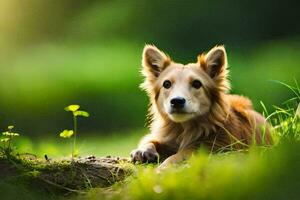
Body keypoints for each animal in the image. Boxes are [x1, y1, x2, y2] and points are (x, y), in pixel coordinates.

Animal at [130, 45, 274, 169]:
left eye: (197, 84)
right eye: (166, 84)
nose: (177, 101)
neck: (184, 129)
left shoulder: (214, 147)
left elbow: (181, 154)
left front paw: (164, 167)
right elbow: (151, 140)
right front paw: (143, 150)